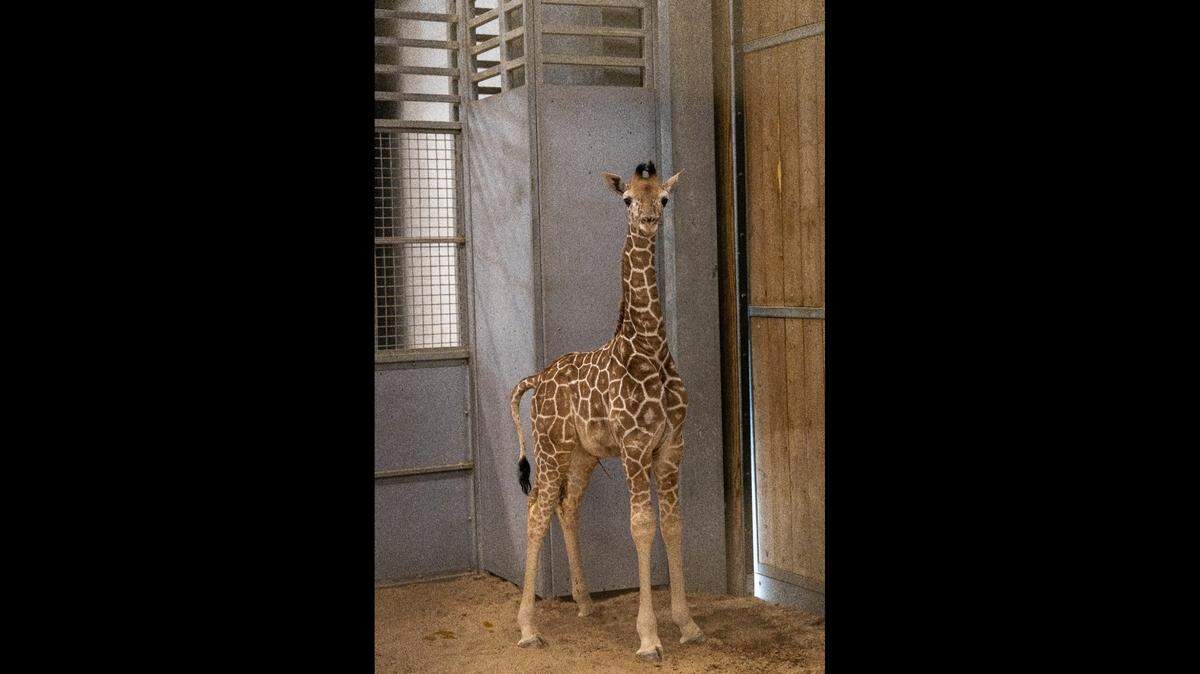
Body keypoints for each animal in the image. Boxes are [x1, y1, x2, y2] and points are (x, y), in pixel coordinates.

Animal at [507, 161, 703, 662]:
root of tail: (536, 378)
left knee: (565, 506)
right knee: (537, 509)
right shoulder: (635, 448)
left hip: (583, 456)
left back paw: (584, 602)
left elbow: (673, 524)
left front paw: (687, 624)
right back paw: (528, 627)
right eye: (628, 199)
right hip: (550, 448)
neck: (650, 350)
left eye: (664, 198)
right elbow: (642, 527)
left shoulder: (671, 447)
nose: (649, 220)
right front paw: (649, 637)